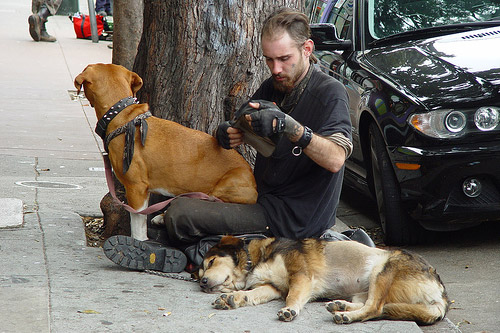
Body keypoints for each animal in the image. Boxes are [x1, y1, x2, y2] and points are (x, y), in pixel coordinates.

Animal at [199, 236, 450, 324]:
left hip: (383, 268)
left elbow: (293, 297)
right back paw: (340, 306)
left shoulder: (300, 277)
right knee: (371, 304)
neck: (255, 259)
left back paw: (345, 316)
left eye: (210, 262)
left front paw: (289, 310)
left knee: (375, 307)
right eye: (199, 273)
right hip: (364, 289)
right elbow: (251, 294)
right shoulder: (272, 288)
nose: (202, 283)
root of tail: (441, 296)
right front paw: (232, 298)